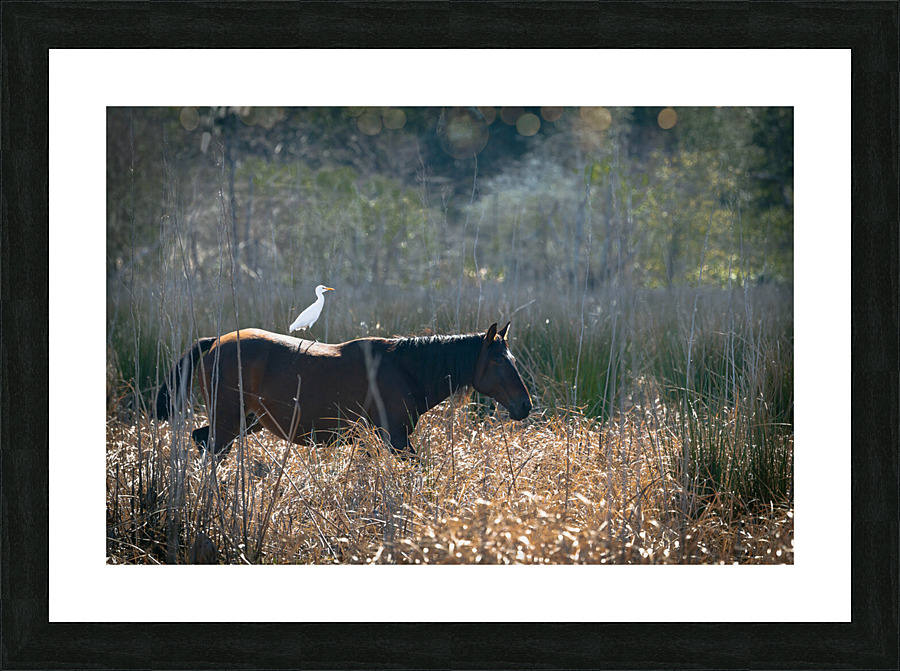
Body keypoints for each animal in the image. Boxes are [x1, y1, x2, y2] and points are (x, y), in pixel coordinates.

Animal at [154, 322, 532, 460]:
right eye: (499, 359)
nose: (524, 405)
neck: (405, 369)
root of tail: (214, 342)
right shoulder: (396, 438)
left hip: (246, 421)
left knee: (201, 440)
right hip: (229, 421)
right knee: (210, 449)